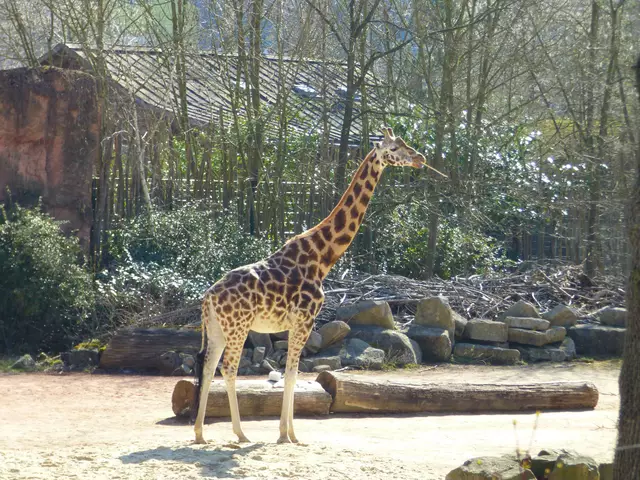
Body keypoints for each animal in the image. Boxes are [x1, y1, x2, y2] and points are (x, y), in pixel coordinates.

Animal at [193, 127, 441, 445]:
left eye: (405, 143)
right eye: (395, 148)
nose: (420, 157)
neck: (323, 257)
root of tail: (208, 297)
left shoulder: (295, 323)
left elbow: (292, 373)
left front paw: (288, 433)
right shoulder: (304, 320)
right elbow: (291, 373)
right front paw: (287, 435)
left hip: (216, 328)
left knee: (209, 365)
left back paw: (200, 434)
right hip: (238, 326)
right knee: (229, 368)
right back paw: (240, 433)